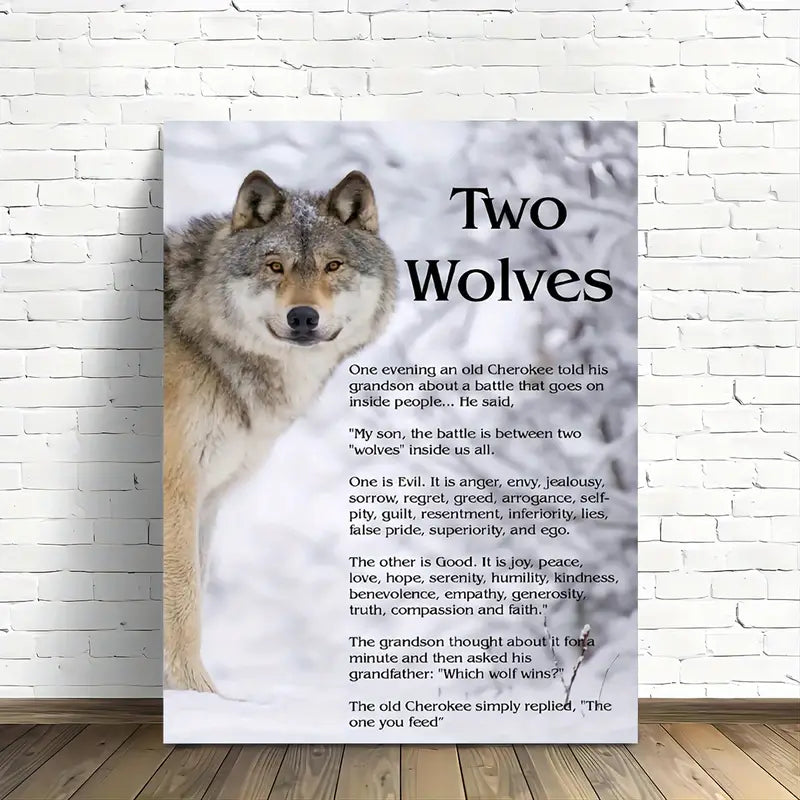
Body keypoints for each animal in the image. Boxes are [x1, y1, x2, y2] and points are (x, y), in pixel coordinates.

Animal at [163, 169, 397, 693]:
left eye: (333, 266)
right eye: (275, 266)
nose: (303, 316)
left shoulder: (208, 500)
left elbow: (194, 597)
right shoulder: (177, 491)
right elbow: (184, 604)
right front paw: (199, 694)